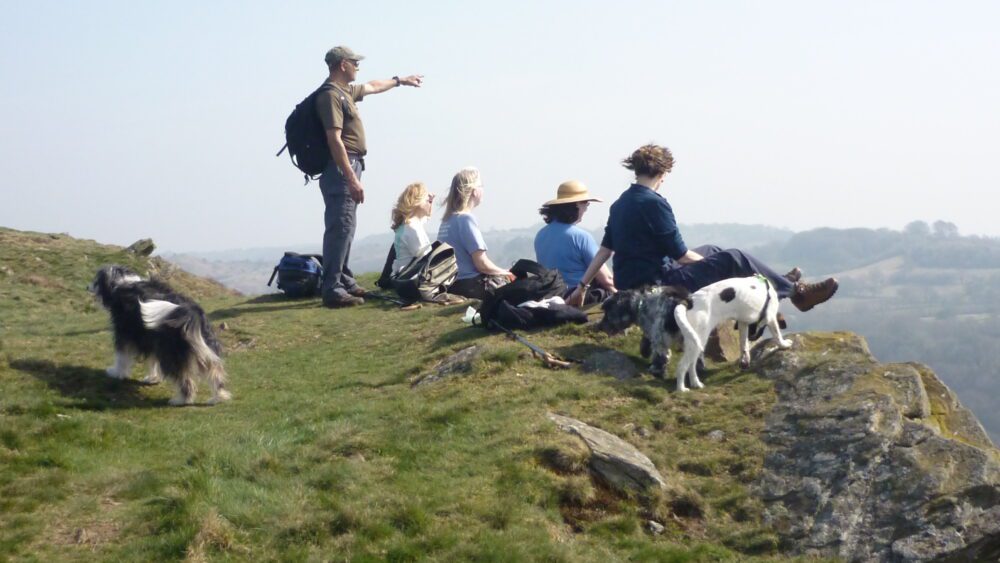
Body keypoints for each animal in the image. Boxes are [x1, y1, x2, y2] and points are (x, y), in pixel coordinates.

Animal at [88, 266, 230, 408]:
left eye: (96, 281)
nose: (87, 286)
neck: (122, 282)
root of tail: (192, 312)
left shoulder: (125, 334)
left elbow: (121, 357)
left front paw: (116, 373)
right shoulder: (151, 339)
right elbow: (152, 360)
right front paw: (153, 378)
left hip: (172, 353)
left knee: (185, 380)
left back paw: (181, 400)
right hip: (205, 347)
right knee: (215, 372)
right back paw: (218, 397)